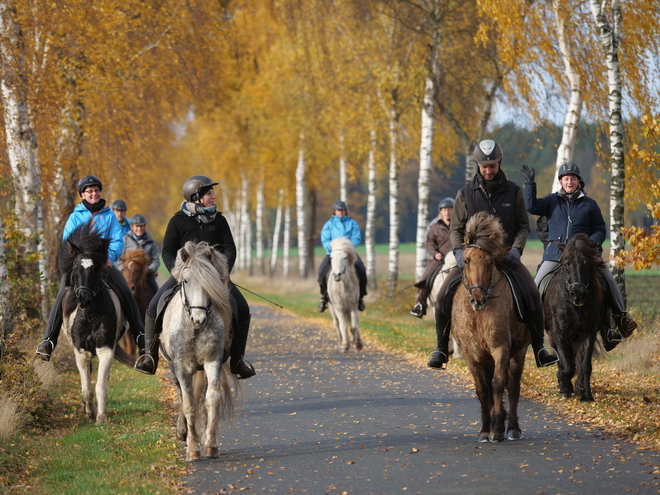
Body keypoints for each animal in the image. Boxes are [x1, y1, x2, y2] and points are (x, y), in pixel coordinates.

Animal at [60, 224, 136, 422]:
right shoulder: (81, 351)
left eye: (95, 269)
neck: (90, 315)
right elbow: (86, 388)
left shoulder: (106, 349)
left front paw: (101, 417)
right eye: (76, 268)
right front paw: (89, 412)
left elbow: (101, 386)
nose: (83, 299)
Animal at [160, 242, 240, 464]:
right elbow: (188, 403)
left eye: (210, 282)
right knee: (182, 394)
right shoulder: (180, 366)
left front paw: (210, 445)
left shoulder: (212, 362)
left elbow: (211, 399)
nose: (199, 319)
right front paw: (192, 449)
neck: (193, 329)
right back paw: (183, 431)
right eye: (186, 281)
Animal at [452, 211, 528, 444]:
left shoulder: (500, 348)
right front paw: (485, 430)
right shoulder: (472, 354)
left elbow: (497, 383)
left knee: (513, 387)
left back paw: (512, 428)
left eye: (490, 261)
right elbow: (482, 389)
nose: (478, 299)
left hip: (519, 352)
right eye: (466, 261)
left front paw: (496, 428)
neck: (478, 315)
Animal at [540, 233, 608, 404]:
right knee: (563, 360)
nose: (578, 294)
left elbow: (584, 365)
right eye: (566, 264)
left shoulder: (589, 333)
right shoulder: (559, 334)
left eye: (586, 263)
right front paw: (564, 386)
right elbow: (566, 366)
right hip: (553, 336)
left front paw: (586, 395)